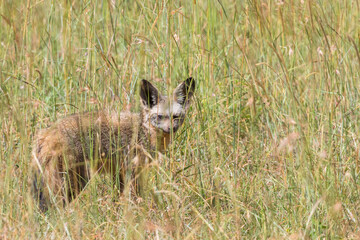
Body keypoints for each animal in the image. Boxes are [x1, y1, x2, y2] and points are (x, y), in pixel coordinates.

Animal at [31, 78, 195, 211]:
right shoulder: (131, 170)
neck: (143, 131)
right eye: (160, 116)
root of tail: (45, 133)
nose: (171, 129)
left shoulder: (122, 172)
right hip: (75, 182)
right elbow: (135, 198)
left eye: (176, 117)